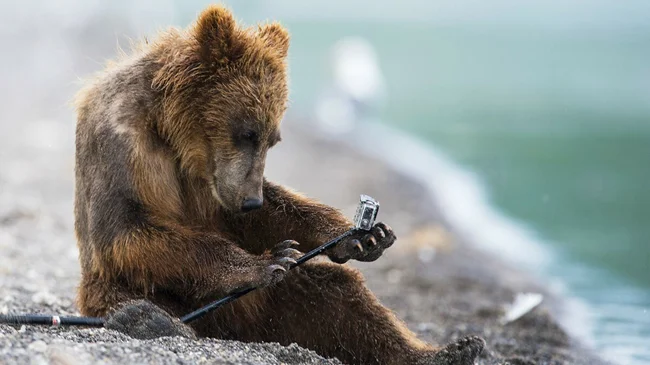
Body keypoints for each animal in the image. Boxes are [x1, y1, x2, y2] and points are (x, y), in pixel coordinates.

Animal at [73, 5, 484, 364]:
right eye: (247, 132)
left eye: (272, 139)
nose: (250, 200)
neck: (172, 133)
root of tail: (230, 332)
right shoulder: (123, 145)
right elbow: (130, 228)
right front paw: (265, 262)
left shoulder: (219, 184)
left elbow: (265, 213)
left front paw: (361, 236)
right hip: (122, 291)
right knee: (138, 296)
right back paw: (150, 320)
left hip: (270, 306)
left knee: (339, 296)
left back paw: (450, 350)